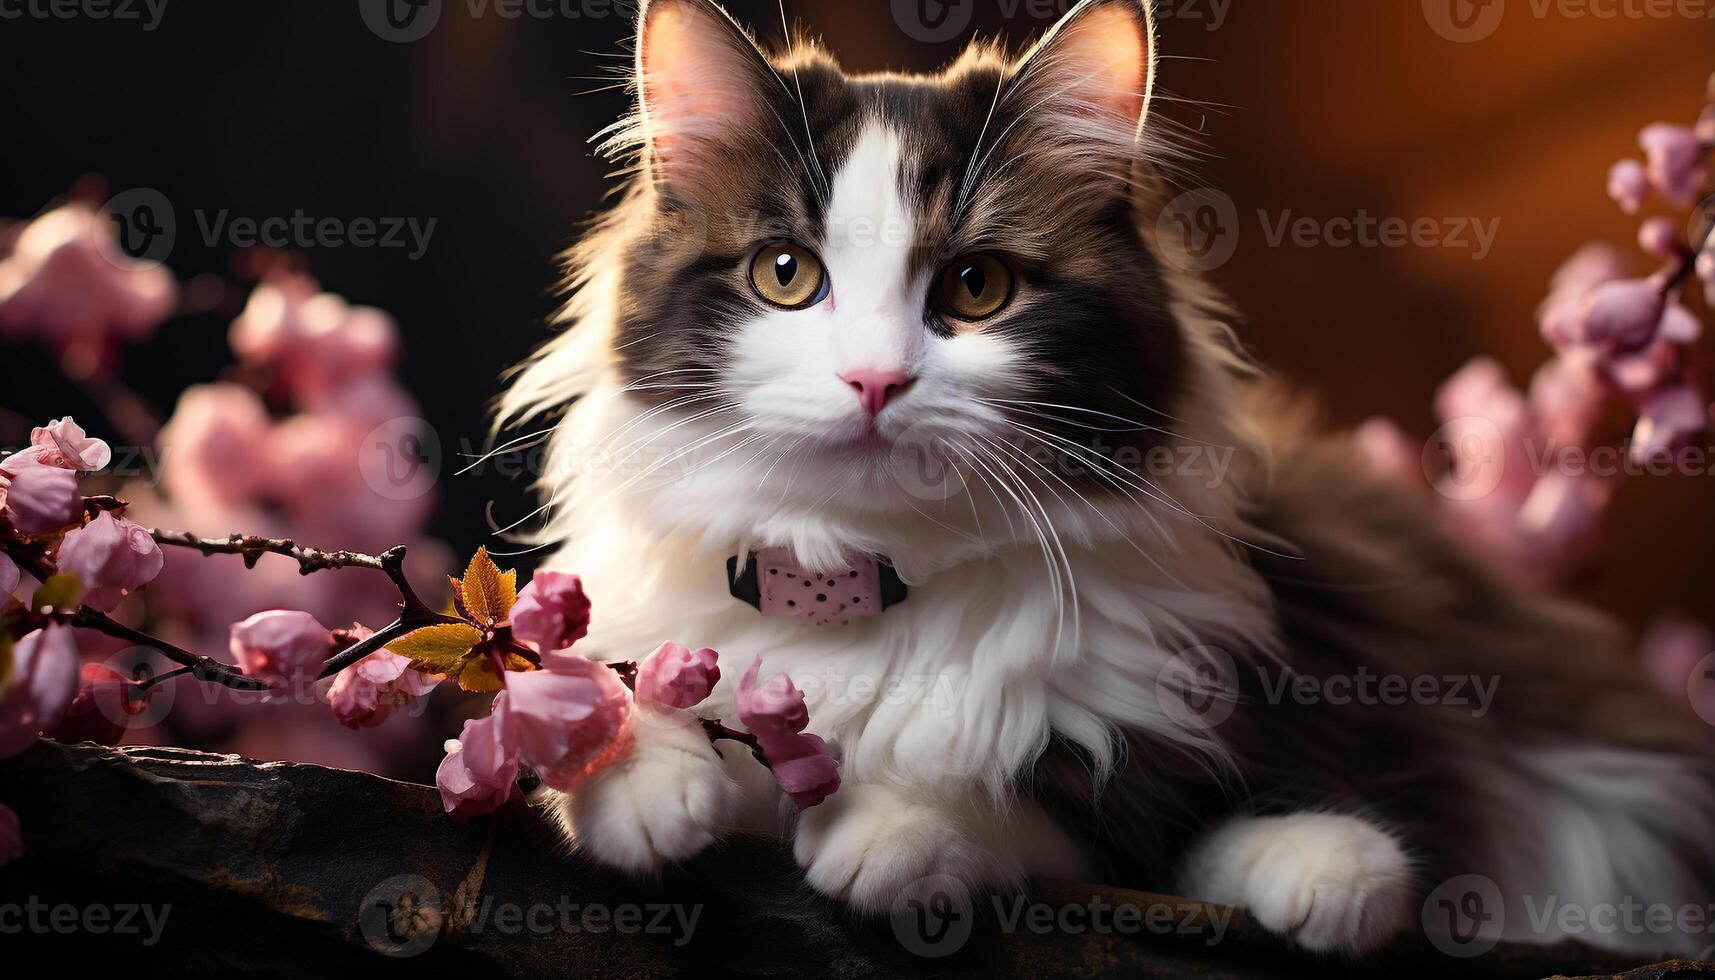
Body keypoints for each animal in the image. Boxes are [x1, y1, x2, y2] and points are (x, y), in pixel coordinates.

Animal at [497, 0, 1715, 954]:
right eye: (785, 275)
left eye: (976, 287)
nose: (875, 380)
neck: (864, 575)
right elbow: (598, 703)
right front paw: (640, 775)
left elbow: (1087, 812)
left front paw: (900, 826)